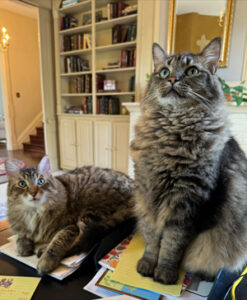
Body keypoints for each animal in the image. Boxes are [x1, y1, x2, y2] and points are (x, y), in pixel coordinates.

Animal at [4, 157, 134, 274]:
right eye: (22, 184)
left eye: (41, 181)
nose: (33, 192)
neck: (35, 213)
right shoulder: (19, 225)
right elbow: (21, 236)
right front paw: (22, 247)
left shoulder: (70, 227)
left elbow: (57, 242)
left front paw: (46, 261)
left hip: (89, 214)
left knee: (80, 244)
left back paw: (43, 250)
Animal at [130, 37, 247, 284]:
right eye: (164, 72)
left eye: (192, 71)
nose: (173, 79)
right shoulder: (147, 198)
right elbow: (153, 240)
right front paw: (148, 264)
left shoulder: (187, 205)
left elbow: (171, 245)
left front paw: (164, 273)